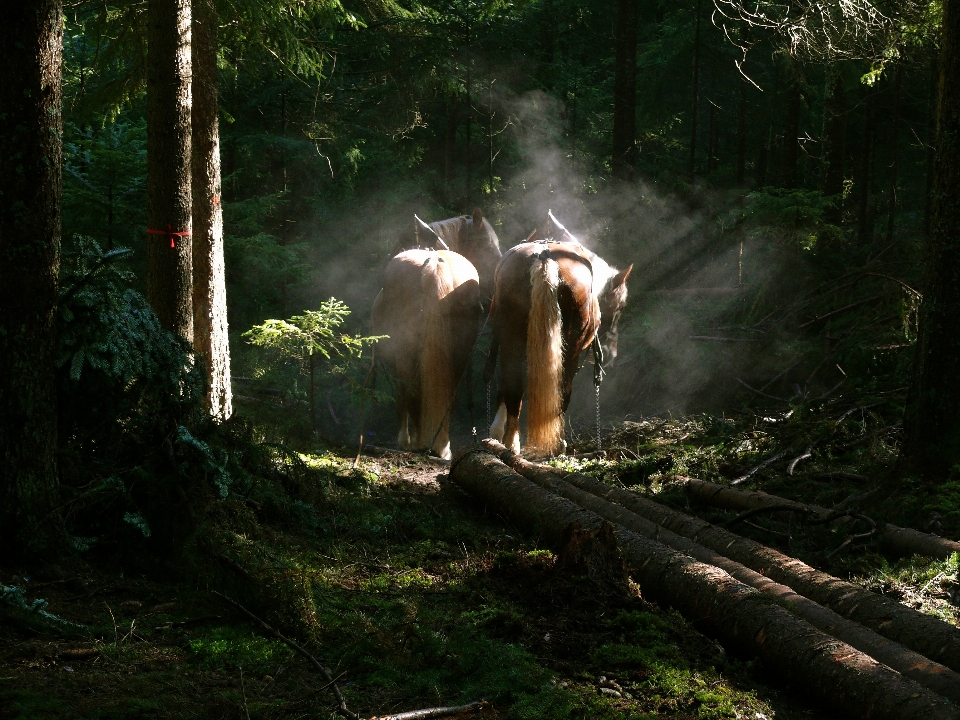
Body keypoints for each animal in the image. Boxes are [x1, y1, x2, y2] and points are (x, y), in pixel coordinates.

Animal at [372, 250, 484, 458]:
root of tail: (434, 263)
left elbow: (401, 398)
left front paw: (403, 441)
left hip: (405, 352)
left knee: (411, 392)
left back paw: (418, 443)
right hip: (459, 354)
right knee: (450, 397)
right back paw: (443, 448)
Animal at [488, 211, 632, 452]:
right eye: (620, 306)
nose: (611, 354)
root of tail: (544, 257)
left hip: (514, 342)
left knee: (514, 388)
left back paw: (512, 443)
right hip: (568, 348)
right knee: (560, 389)